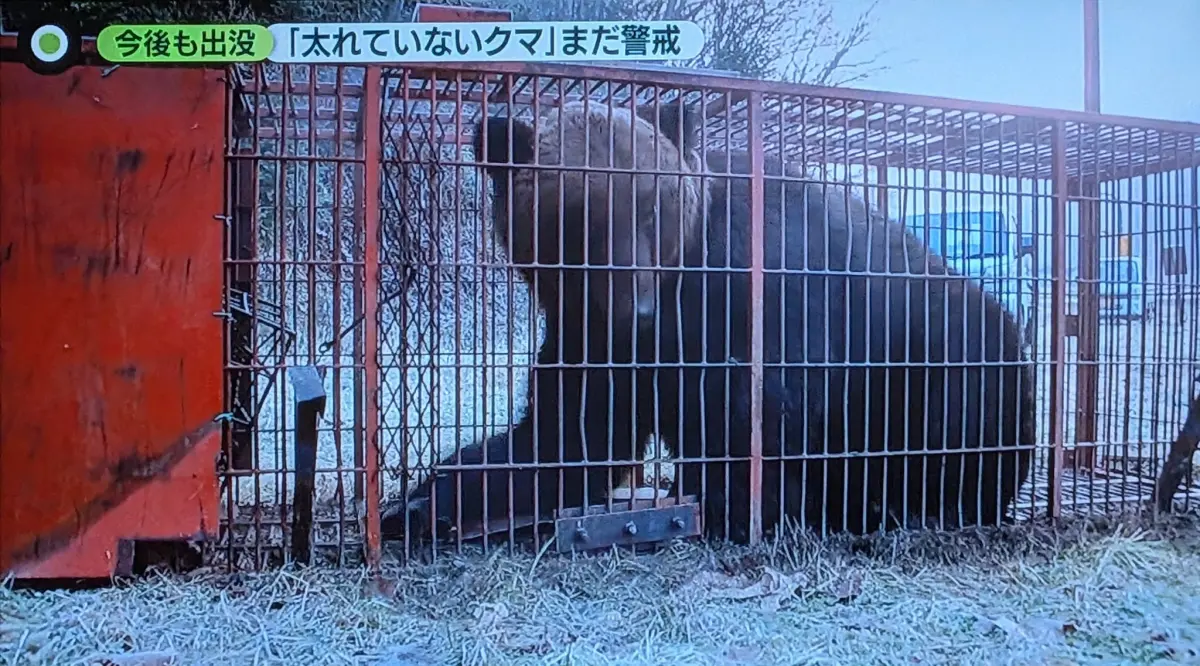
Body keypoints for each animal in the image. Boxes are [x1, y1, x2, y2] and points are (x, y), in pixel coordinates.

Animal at [389, 99, 706, 540]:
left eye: (652, 208)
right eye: (581, 217)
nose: (637, 312)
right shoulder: (582, 333)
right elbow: (566, 440)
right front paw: (419, 503)